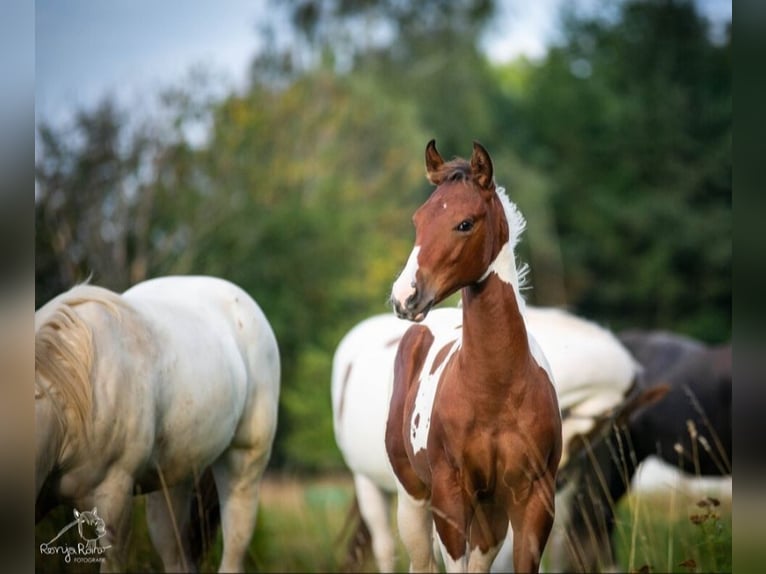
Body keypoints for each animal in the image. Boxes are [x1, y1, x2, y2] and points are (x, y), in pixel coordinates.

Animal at [390, 141, 564, 574]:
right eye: (418, 220)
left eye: (465, 223)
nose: (405, 296)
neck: (495, 392)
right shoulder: (450, 498)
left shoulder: (533, 500)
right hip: (413, 500)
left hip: (491, 514)